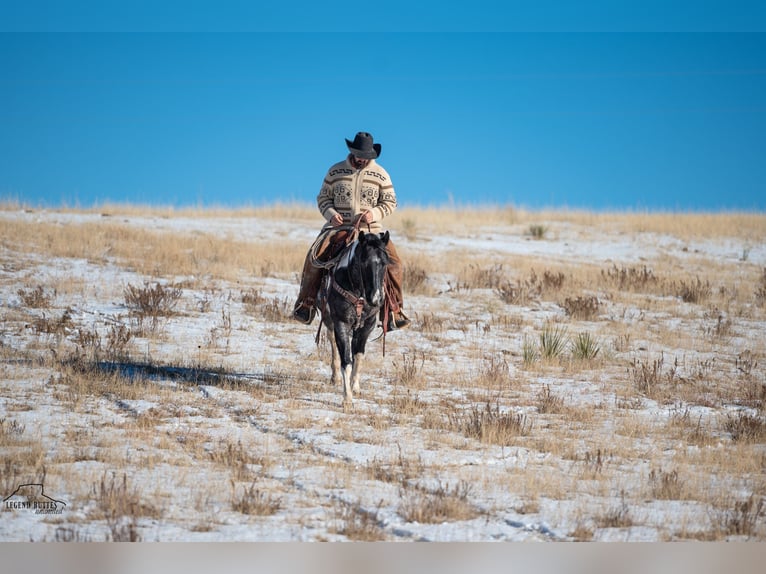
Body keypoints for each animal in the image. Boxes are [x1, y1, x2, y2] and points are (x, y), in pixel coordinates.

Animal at [316, 230, 392, 404]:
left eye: (385, 263)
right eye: (364, 262)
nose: (376, 299)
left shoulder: (367, 326)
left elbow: (358, 356)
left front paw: (355, 387)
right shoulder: (341, 323)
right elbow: (346, 360)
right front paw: (347, 398)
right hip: (329, 320)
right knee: (332, 342)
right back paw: (335, 377)